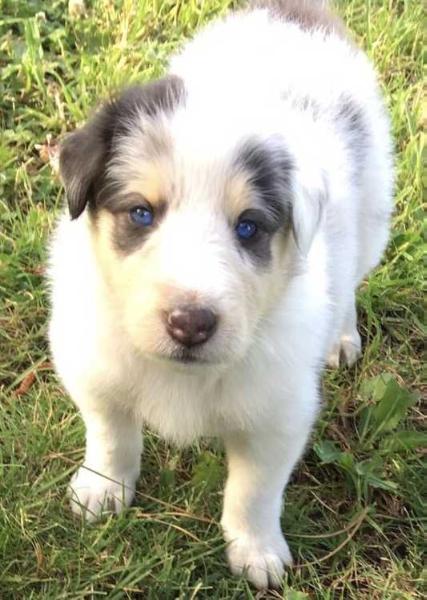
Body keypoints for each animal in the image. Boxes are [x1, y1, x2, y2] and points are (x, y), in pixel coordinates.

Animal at [48, 0, 392, 592]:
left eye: (248, 227)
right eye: (142, 213)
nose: (190, 323)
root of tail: (295, 12)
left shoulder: (279, 413)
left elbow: (253, 492)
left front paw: (256, 554)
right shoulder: (93, 367)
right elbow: (112, 435)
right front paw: (101, 491)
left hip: (371, 216)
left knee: (348, 281)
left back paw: (342, 338)